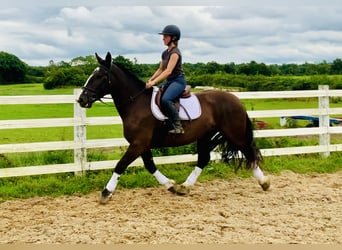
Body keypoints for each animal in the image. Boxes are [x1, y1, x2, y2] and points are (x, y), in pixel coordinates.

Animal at [77, 51, 270, 204]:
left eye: (99, 76)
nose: (81, 99)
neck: (136, 103)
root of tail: (236, 100)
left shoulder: (138, 143)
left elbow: (120, 165)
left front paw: (106, 193)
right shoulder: (142, 144)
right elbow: (150, 165)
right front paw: (171, 186)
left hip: (234, 133)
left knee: (248, 152)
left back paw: (264, 182)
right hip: (206, 135)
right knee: (204, 159)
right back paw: (184, 187)